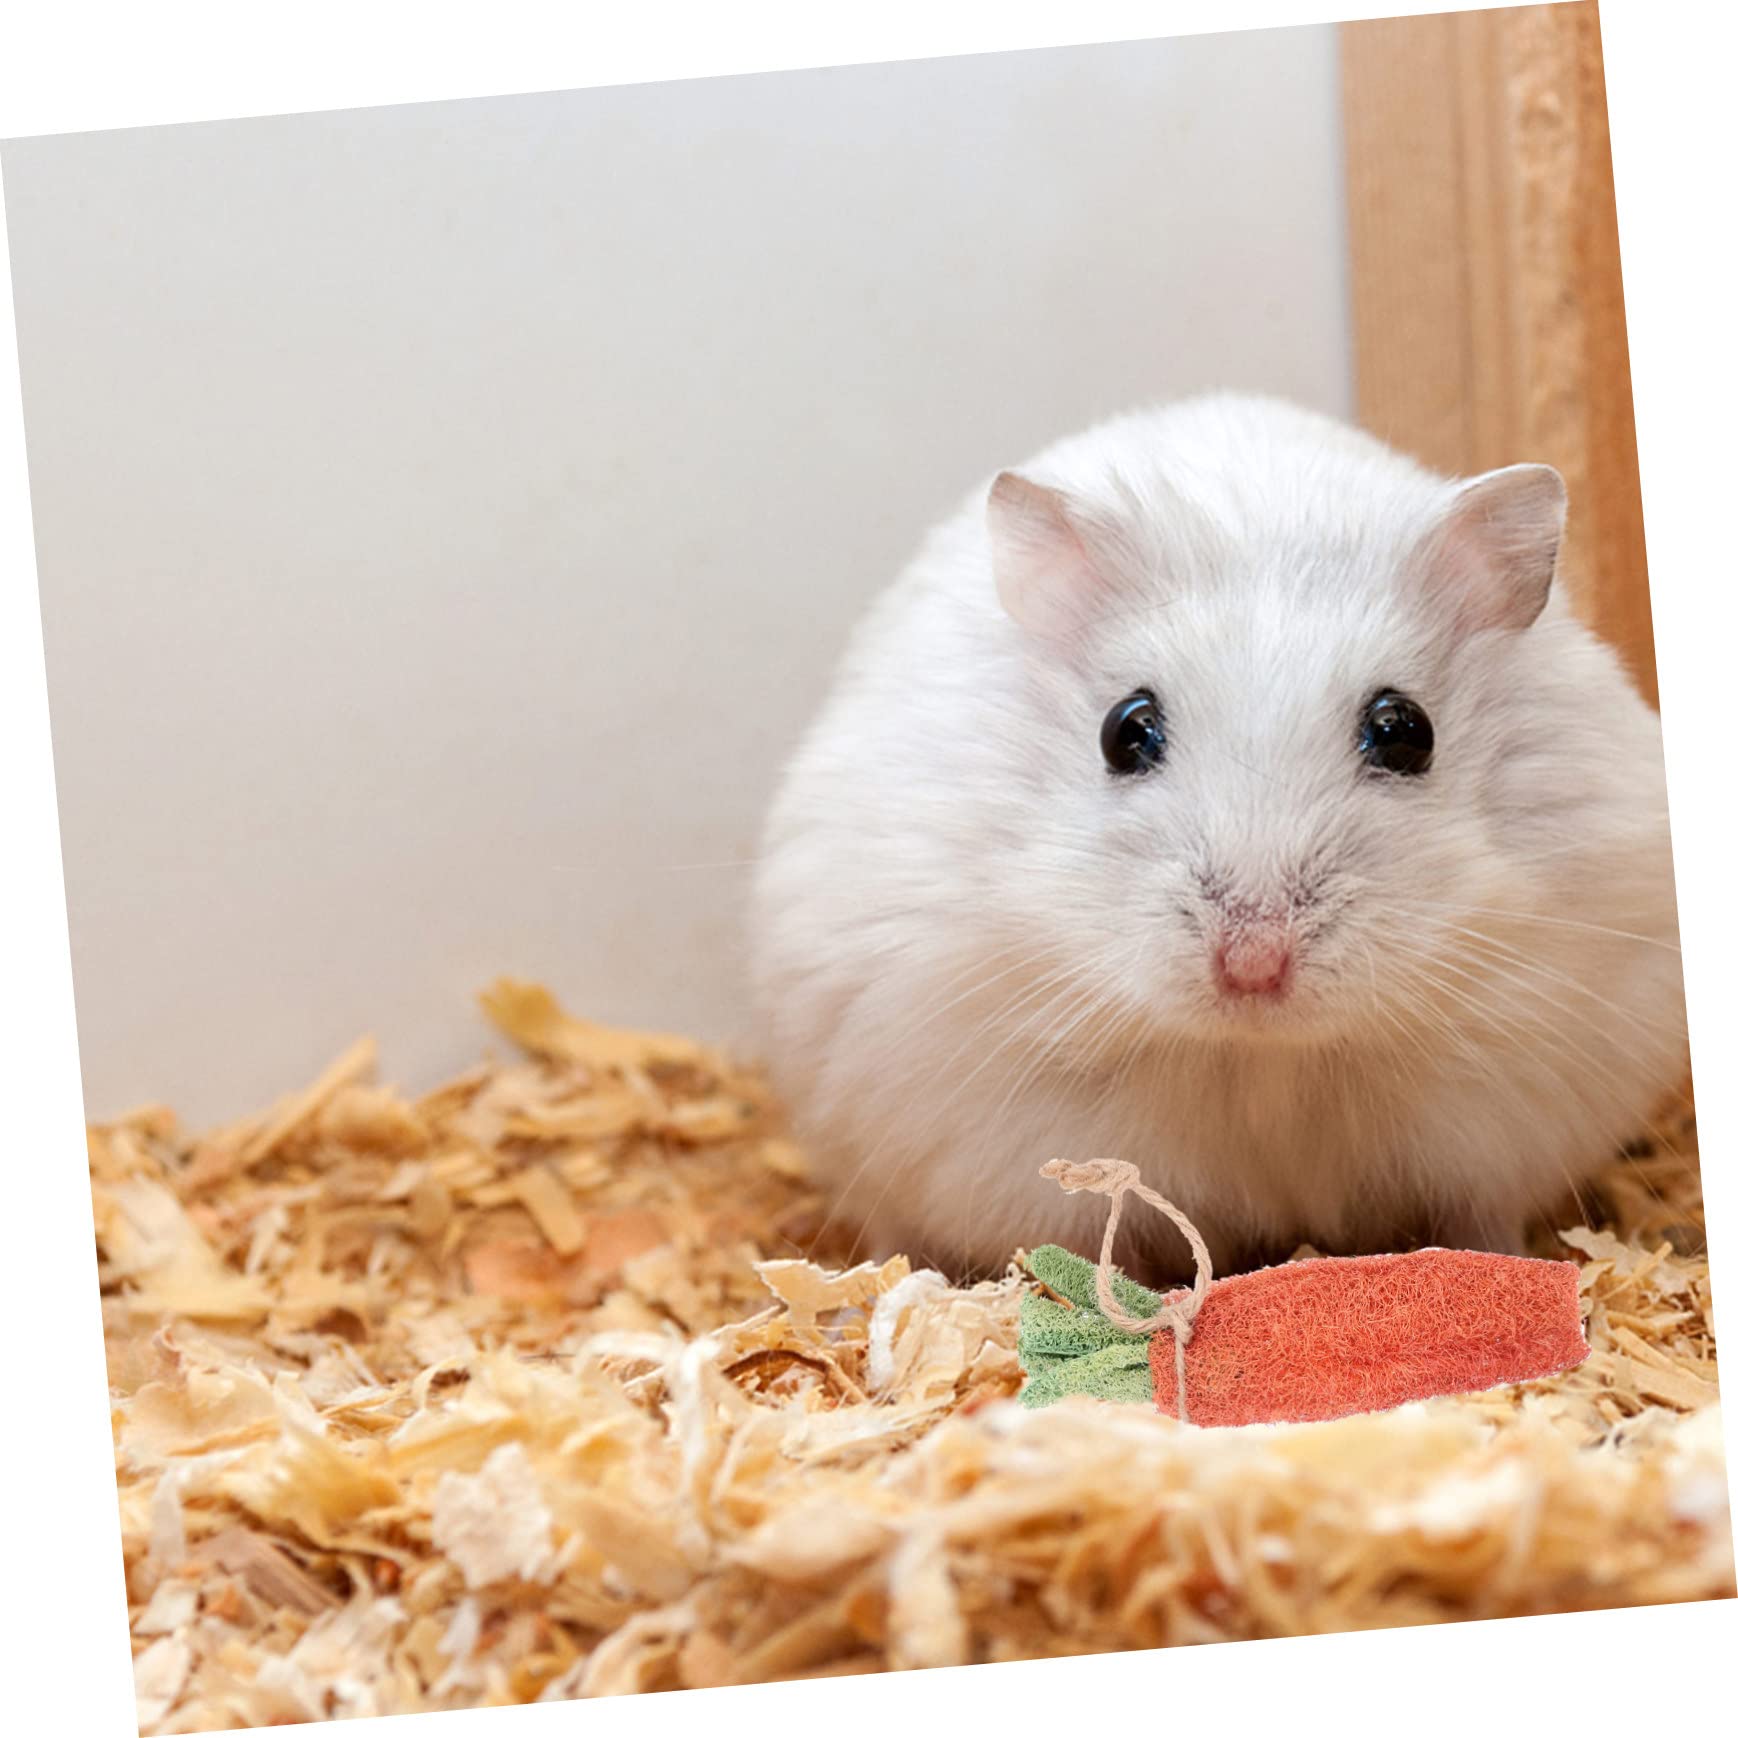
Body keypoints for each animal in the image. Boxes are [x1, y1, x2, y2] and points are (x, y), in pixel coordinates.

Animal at [748, 394, 1687, 1285]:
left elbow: (1474, 1218)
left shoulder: (1509, 1100)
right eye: (1125, 731)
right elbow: (1095, 1241)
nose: (1254, 966)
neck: (1262, 1056)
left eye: (1403, 731)